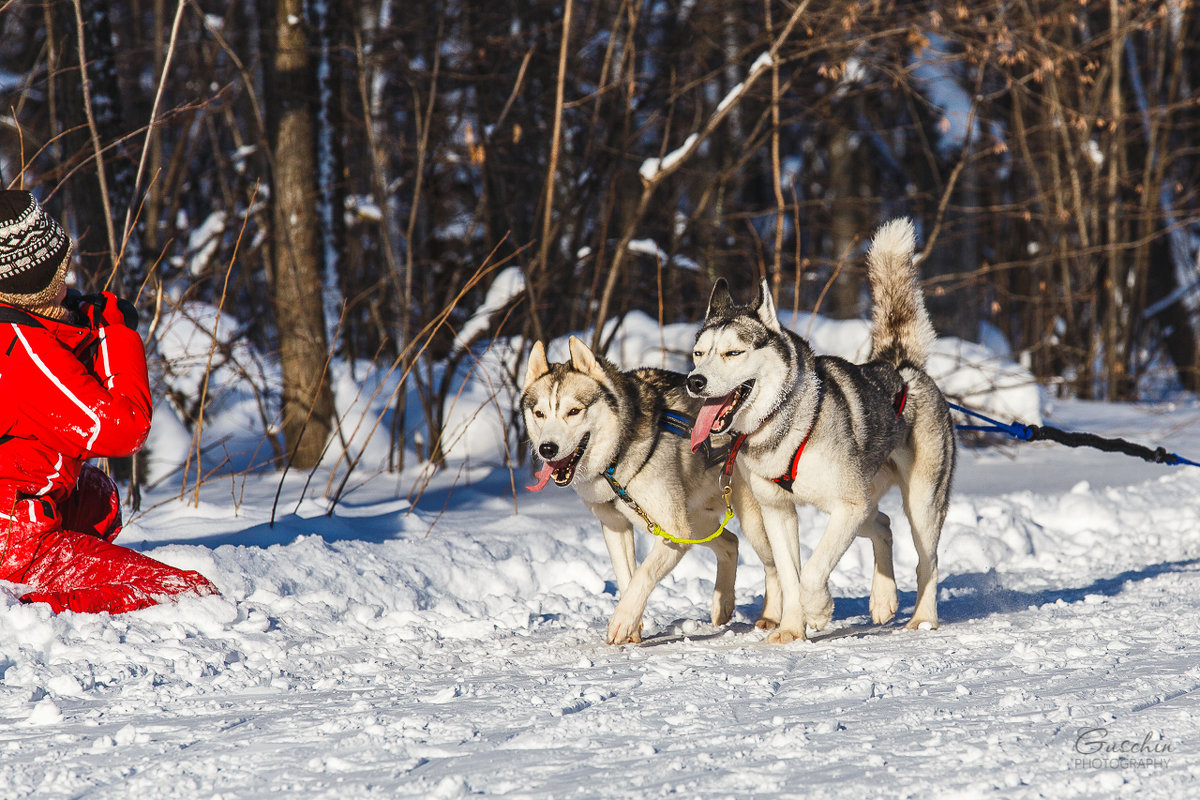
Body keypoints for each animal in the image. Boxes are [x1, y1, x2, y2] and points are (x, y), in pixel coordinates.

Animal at [525, 335, 777, 642]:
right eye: (539, 414)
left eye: (574, 411)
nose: (547, 449)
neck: (615, 461)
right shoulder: (616, 527)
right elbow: (627, 577)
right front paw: (633, 627)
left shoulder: (673, 533)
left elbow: (643, 574)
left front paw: (622, 621)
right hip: (697, 523)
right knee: (730, 543)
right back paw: (723, 605)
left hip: (750, 523)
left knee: (775, 566)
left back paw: (774, 616)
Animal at [686, 219, 955, 642]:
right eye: (699, 353)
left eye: (733, 353)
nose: (694, 381)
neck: (782, 425)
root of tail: (900, 366)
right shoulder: (778, 512)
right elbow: (790, 575)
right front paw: (791, 629)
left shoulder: (847, 507)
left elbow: (811, 572)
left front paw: (817, 610)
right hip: (866, 502)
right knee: (883, 525)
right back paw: (883, 599)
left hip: (919, 502)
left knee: (927, 560)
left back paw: (922, 618)